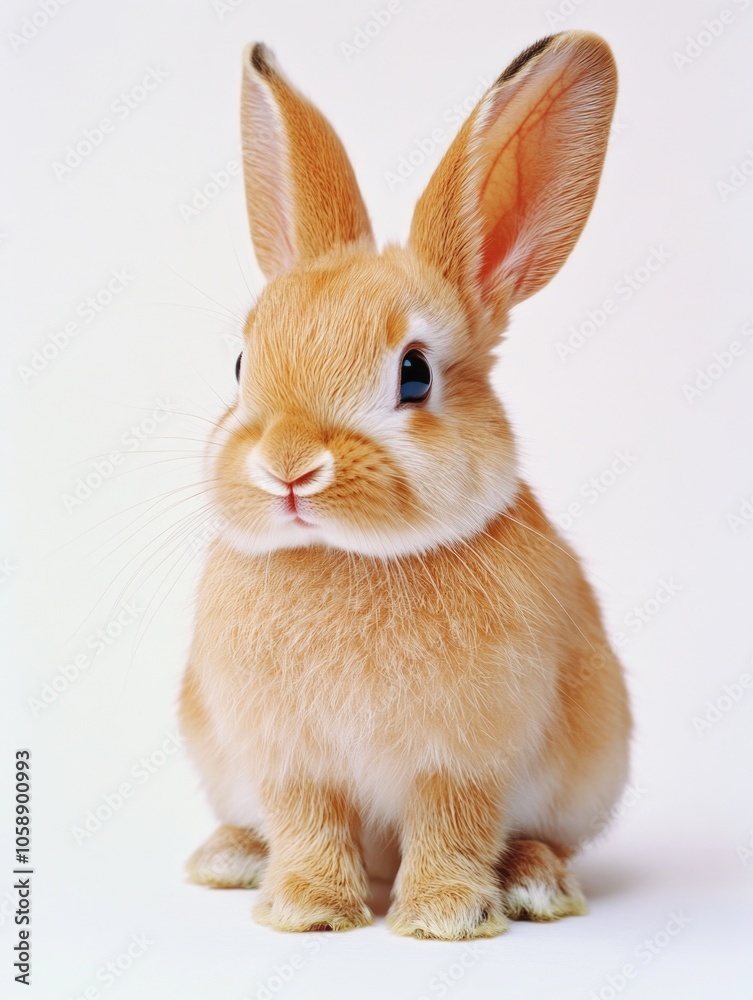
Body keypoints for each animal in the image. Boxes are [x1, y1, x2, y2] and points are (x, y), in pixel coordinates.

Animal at [179, 30, 632, 940]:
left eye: (414, 375)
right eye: (242, 366)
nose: (287, 464)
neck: (348, 557)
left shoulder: (464, 758)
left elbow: (453, 827)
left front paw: (442, 919)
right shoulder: (290, 760)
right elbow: (309, 824)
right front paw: (308, 912)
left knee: (537, 839)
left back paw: (534, 885)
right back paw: (230, 859)